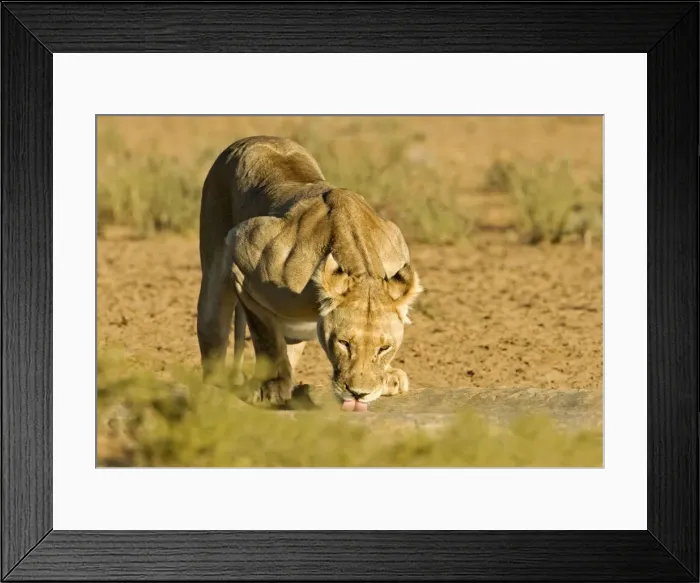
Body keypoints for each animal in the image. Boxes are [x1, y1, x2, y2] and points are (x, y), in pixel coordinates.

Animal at [196, 136, 423, 411]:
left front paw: (389, 377)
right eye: (344, 343)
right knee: (214, 328)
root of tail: (254, 138)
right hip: (214, 274)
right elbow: (265, 333)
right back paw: (217, 386)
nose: (359, 394)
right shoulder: (241, 249)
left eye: (384, 348)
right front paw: (273, 387)